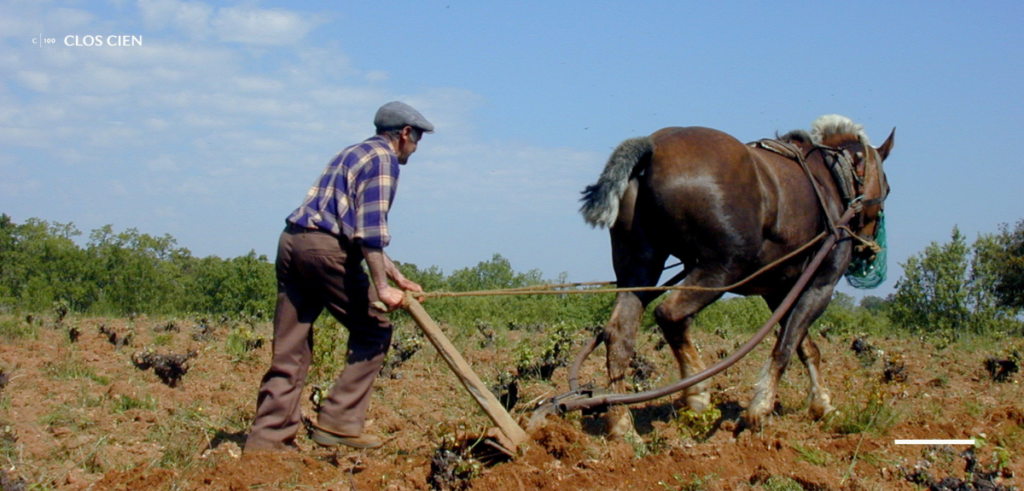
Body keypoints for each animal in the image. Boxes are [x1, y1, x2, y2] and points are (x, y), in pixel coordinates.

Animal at [579, 115, 894, 434]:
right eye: (888, 187)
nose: (868, 247)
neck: (830, 180)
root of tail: (654, 145)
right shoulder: (820, 285)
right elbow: (786, 346)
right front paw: (760, 408)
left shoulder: (778, 291)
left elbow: (805, 346)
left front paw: (822, 404)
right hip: (722, 268)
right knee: (671, 315)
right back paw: (698, 394)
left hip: (639, 268)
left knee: (619, 335)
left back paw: (622, 423)